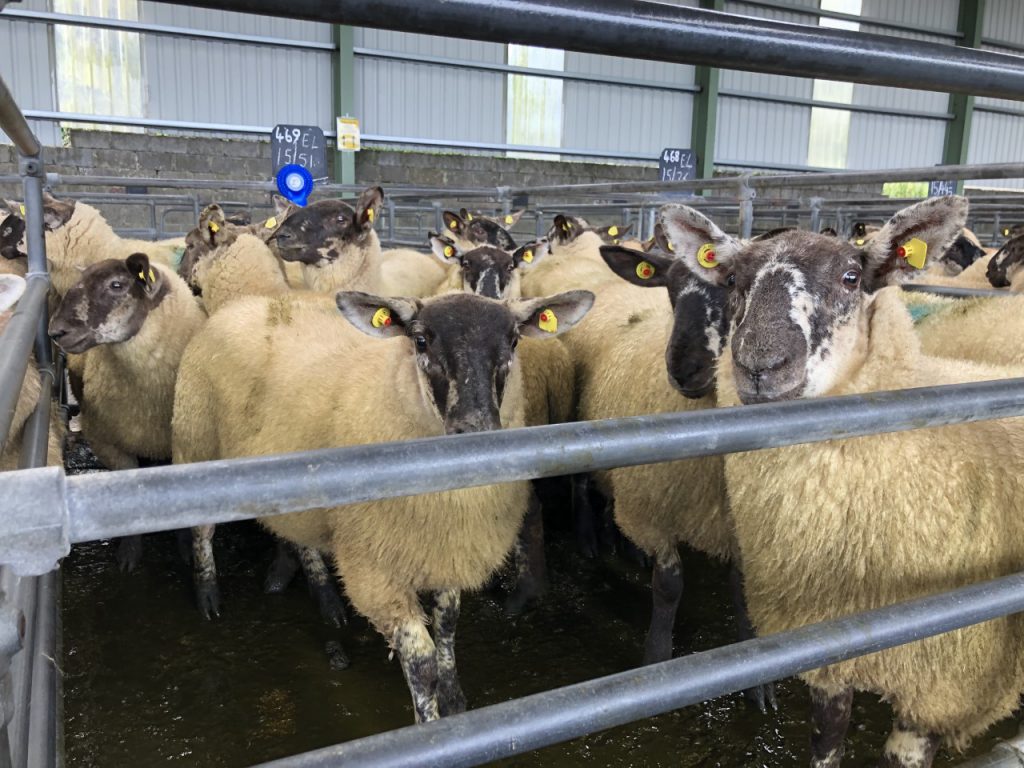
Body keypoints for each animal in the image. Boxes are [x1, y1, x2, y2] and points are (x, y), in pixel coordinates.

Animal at [172, 287, 594, 722]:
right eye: (420, 340)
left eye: (513, 341)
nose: (475, 429)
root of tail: (248, 301)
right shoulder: (374, 572)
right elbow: (421, 660)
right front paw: (429, 724)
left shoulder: (449, 550)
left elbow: (447, 629)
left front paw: (454, 699)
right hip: (195, 444)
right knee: (201, 532)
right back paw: (208, 596)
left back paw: (326, 600)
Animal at [664, 194, 1024, 767]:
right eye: (735, 279)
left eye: (852, 276)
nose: (760, 364)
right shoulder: (830, 648)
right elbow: (826, 746)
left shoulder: (940, 685)